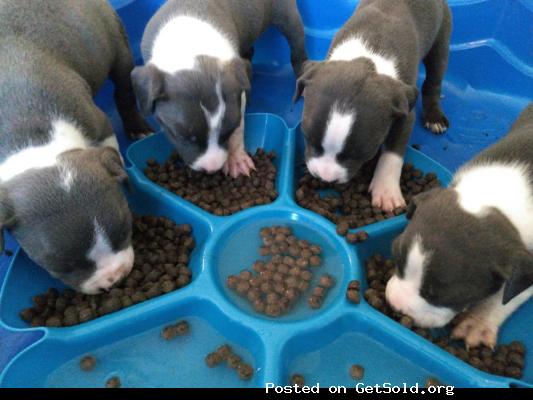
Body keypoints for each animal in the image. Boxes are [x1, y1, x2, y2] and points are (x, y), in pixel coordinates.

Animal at [0, 0, 152, 294]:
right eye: (62, 267)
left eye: (126, 230)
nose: (115, 278)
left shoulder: (99, 124)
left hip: (115, 43)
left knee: (124, 91)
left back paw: (138, 127)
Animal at [131, 0, 308, 177]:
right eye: (182, 136)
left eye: (228, 131)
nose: (211, 169)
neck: (191, 44)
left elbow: (239, 126)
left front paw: (236, 159)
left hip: (287, 16)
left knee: (297, 48)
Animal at [294, 0, 450, 212]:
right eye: (307, 138)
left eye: (363, 153)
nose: (325, 178)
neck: (368, 57)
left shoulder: (404, 112)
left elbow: (393, 152)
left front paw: (386, 191)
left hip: (441, 39)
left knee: (434, 79)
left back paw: (434, 116)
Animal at [384, 103, 532, 350]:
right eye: (395, 256)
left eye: (440, 295)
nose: (395, 305)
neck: (492, 197)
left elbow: (504, 298)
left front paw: (478, 321)